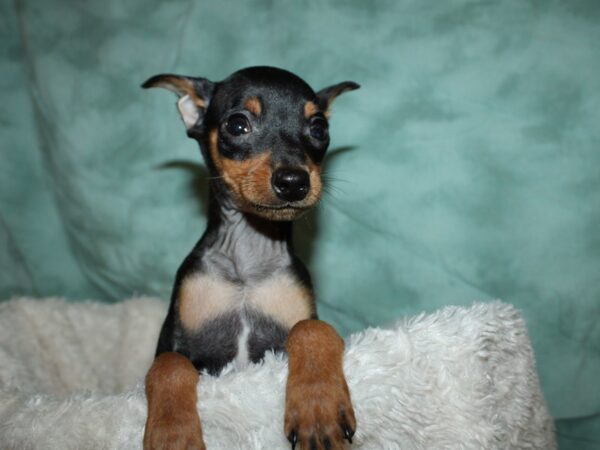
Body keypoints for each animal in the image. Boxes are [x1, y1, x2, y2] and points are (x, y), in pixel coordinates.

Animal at [142, 65, 358, 448]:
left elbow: (312, 328)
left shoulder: (287, 336)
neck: (247, 262)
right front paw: (173, 432)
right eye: (238, 125)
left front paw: (318, 408)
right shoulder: (177, 343)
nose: (294, 182)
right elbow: (167, 366)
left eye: (319, 128)